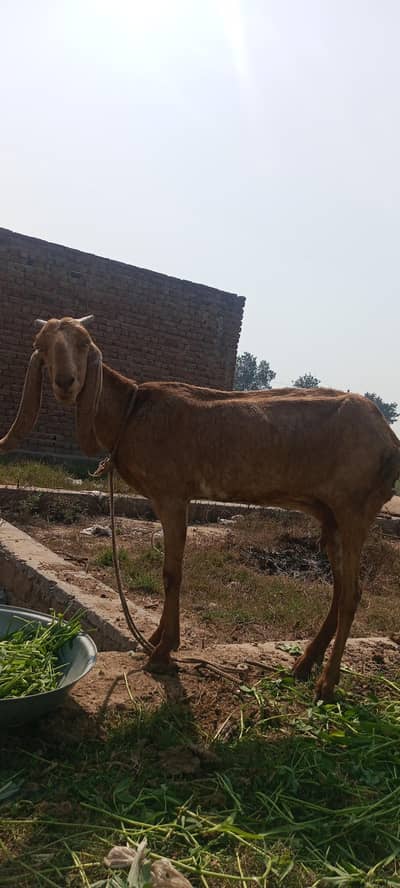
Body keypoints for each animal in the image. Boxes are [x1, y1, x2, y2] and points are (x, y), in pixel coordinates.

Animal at [1, 316, 399, 701]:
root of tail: (388, 438)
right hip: (330, 516)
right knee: (339, 590)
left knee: (352, 594)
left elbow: (171, 573)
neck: (131, 410)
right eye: (42, 345)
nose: (66, 382)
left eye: (84, 344)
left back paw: (327, 684)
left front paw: (163, 652)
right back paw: (303, 665)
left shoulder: (173, 496)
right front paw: (154, 640)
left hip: (355, 510)